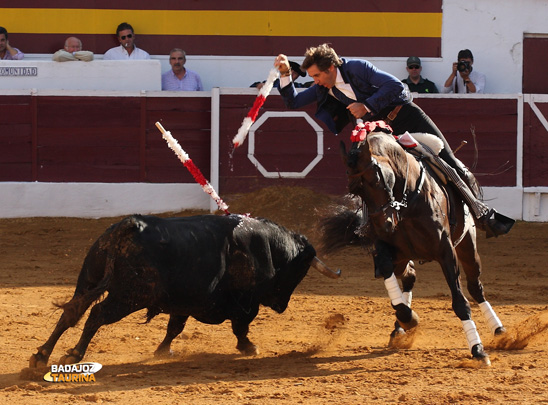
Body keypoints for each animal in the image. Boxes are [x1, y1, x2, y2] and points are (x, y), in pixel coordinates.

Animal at [30, 211, 334, 366]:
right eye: (301, 270)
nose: (282, 306)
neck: (267, 247)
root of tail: (131, 224)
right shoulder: (246, 302)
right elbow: (240, 326)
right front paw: (249, 347)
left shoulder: (185, 301)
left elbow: (174, 327)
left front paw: (162, 351)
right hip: (129, 297)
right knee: (96, 315)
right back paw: (74, 354)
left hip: (88, 280)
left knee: (71, 312)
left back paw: (41, 356)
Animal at [322, 127, 506, 362]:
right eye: (355, 190)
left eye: (376, 180)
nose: (385, 225)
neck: (406, 202)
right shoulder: (385, 250)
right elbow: (392, 285)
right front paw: (407, 318)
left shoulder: (446, 252)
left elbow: (460, 301)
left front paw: (478, 349)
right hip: (403, 258)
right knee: (409, 276)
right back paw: (399, 328)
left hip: (467, 246)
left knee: (475, 287)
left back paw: (499, 329)